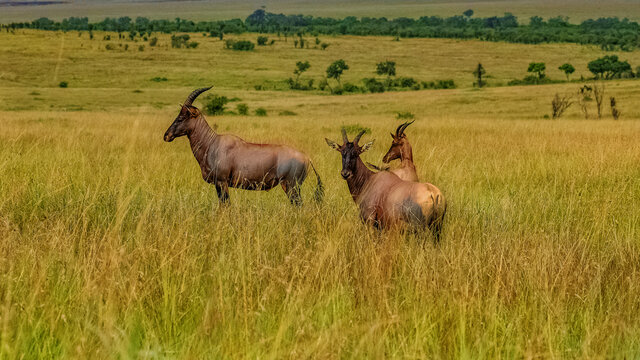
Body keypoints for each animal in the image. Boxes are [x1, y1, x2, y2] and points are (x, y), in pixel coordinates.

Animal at [165, 86, 324, 205]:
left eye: (181, 117)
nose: (166, 136)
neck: (212, 143)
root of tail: (307, 158)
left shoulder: (221, 182)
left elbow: (225, 205)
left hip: (291, 187)